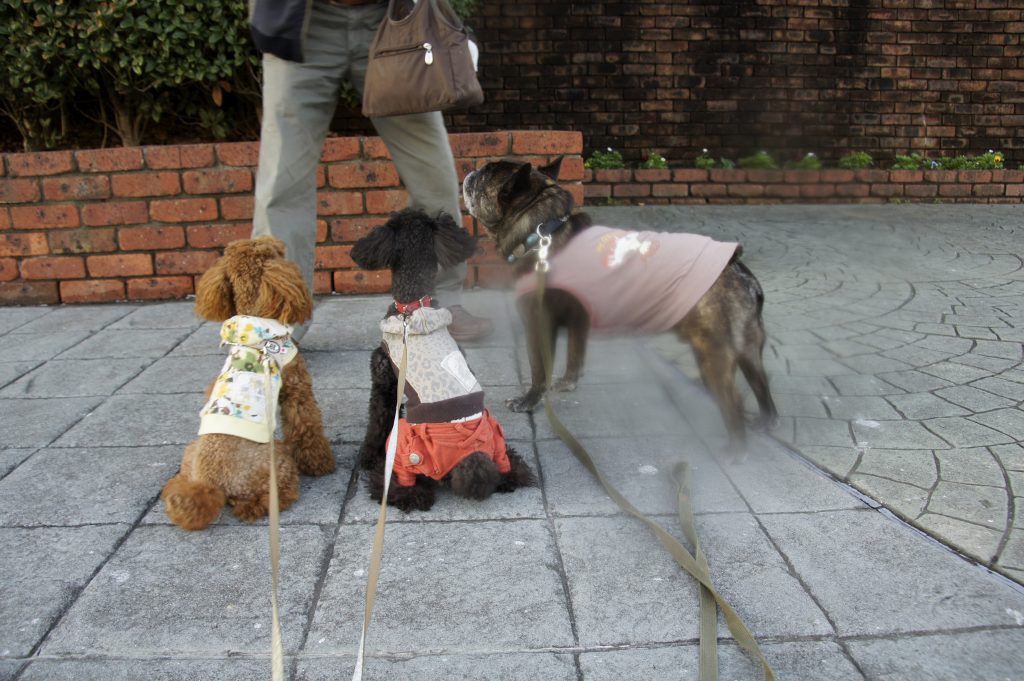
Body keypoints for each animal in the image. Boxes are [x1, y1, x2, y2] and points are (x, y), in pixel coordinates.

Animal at [161, 237, 335, 530]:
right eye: (276, 251)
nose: (279, 242)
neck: (256, 326)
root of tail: (210, 483)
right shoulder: (296, 389)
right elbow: (306, 426)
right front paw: (320, 464)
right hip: (275, 462)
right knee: (257, 502)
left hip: (190, 452)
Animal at [351, 208, 536, 511]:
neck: (413, 304)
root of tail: (470, 458)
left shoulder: (384, 381)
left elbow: (377, 422)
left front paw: (366, 456)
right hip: (496, 441)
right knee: (513, 468)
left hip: (407, 447)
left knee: (410, 490)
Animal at [462, 158, 778, 451]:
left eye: (486, 174)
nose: (471, 171)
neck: (542, 232)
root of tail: (739, 269)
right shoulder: (578, 322)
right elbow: (575, 355)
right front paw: (568, 382)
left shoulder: (537, 324)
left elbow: (539, 369)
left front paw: (528, 401)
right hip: (747, 348)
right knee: (762, 386)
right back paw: (764, 422)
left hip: (712, 352)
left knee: (733, 400)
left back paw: (734, 451)